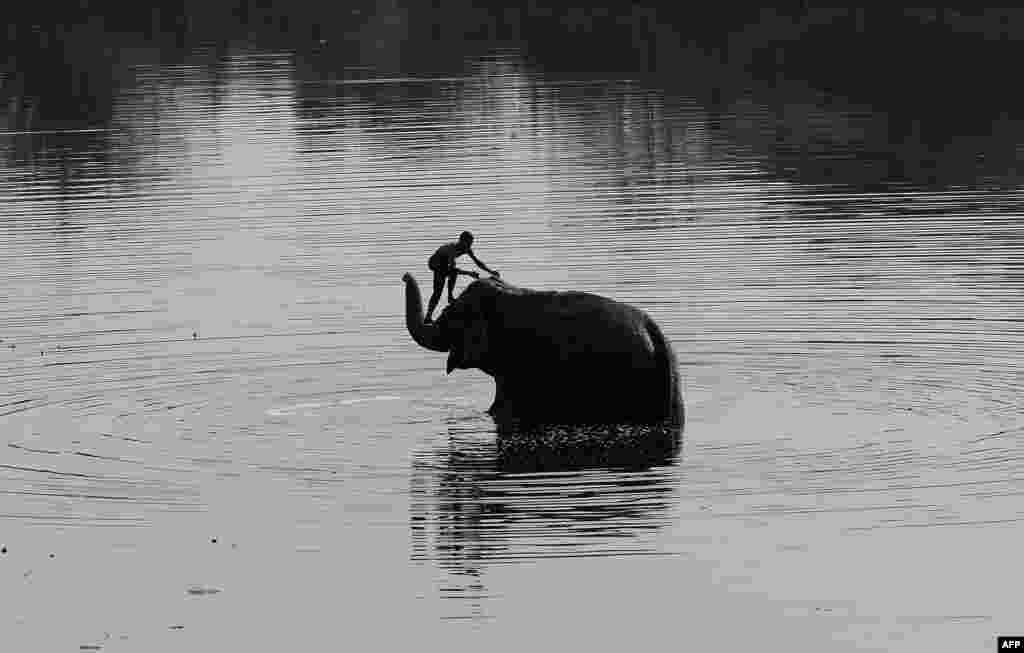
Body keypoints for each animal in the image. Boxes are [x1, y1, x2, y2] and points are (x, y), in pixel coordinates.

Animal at [403, 272, 684, 429]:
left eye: (454, 315)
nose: (404, 275)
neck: (509, 293)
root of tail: (656, 337)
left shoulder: (519, 367)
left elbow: (500, 412)